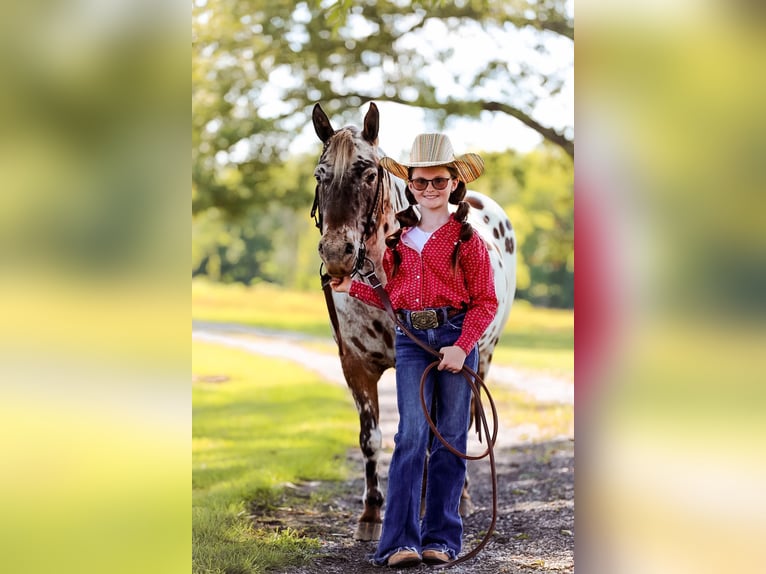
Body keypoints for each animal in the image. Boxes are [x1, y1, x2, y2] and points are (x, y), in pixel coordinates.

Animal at [310, 101, 516, 544]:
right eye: (320, 175)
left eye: (369, 173)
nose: (336, 254)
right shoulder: (356, 367)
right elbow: (371, 438)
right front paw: (372, 513)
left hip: (482, 357)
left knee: (461, 423)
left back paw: (459, 497)